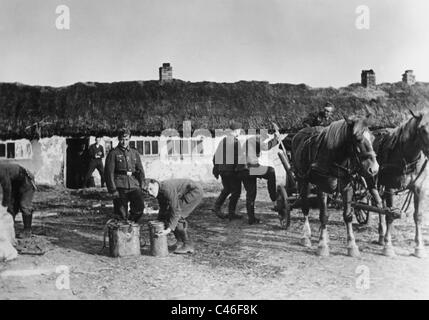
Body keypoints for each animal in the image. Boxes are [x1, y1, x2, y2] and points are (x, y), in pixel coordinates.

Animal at [288, 116, 378, 256]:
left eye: (373, 138)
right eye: (357, 139)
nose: (374, 169)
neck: (335, 158)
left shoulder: (347, 188)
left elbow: (347, 216)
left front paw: (352, 246)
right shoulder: (321, 188)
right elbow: (323, 216)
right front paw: (322, 246)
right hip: (302, 180)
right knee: (305, 207)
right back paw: (306, 236)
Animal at [368, 110, 428, 258]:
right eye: (422, 129)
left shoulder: (420, 189)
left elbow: (418, 216)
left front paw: (419, 247)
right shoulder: (390, 187)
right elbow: (390, 215)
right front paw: (388, 247)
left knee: (380, 204)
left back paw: (381, 237)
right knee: (378, 205)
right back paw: (382, 235)